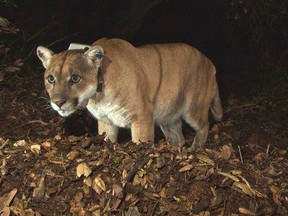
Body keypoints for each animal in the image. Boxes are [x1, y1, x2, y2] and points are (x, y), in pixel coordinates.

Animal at [37, 38, 223, 148]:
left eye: (75, 78)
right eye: (51, 79)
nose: (58, 102)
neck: (99, 95)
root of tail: (210, 62)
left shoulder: (142, 117)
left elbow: (142, 142)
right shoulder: (106, 121)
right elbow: (108, 139)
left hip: (193, 108)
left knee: (204, 125)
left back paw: (196, 148)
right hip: (167, 116)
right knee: (178, 136)